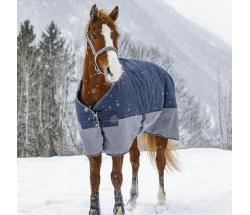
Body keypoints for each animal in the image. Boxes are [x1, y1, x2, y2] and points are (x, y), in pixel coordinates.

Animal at [76, 3, 180, 215]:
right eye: (94, 34)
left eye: (116, 34)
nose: (114, 71)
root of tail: (163, 71)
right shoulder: (92, 138)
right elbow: (94, 178)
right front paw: (94, 210)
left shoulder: (117, 138)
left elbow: (116, 176)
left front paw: (119, 208)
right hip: (132, 132)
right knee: (135, 160)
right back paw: (133, 199)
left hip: (161, 129)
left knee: (160, 162)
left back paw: (161, 201)